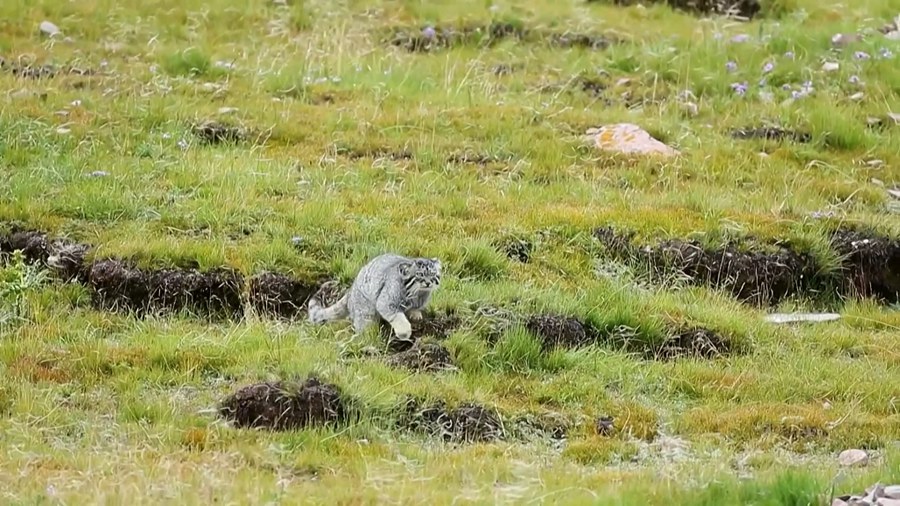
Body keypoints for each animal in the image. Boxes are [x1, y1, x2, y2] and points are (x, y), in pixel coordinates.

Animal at [310, 255, 442, 342]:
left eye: (433, 274)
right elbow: (396, 315)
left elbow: (414, 308)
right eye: (420, 274)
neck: (417, 293)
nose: (428, 283)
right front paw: (404, 332)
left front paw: (415, 313)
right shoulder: (386, 301)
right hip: (364, 310)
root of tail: (350, 292)